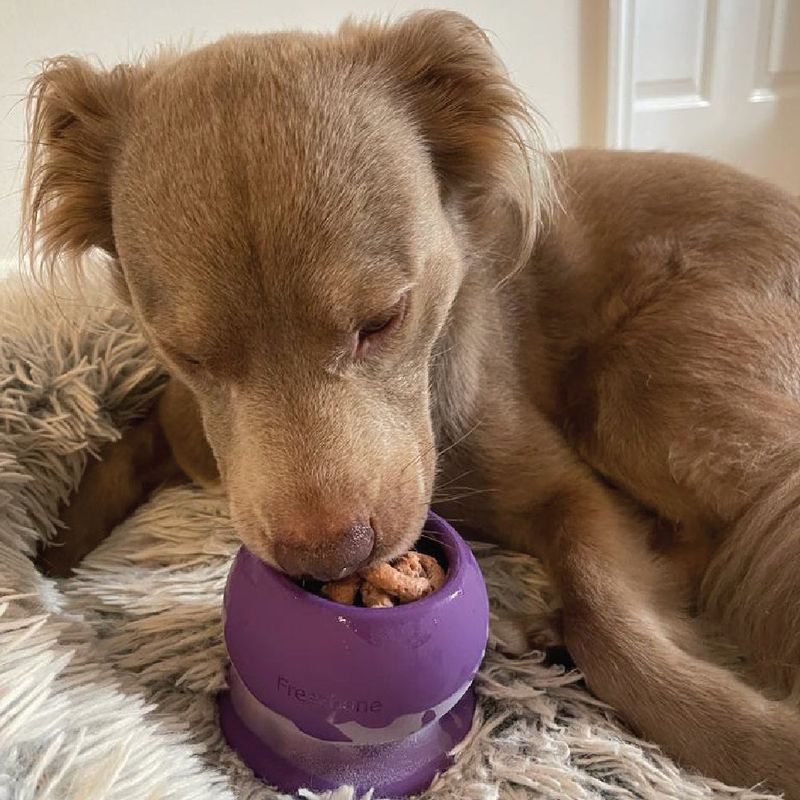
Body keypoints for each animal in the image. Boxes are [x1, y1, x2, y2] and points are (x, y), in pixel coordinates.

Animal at [20, 9, 800, 796]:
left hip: (637, 392)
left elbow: (609, 620)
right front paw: (44, 560)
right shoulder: (186, 423)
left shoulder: (565, 489)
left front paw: (748, 738)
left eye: (384, 319)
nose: (328, 557)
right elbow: (120, 450)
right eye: (190, 355)